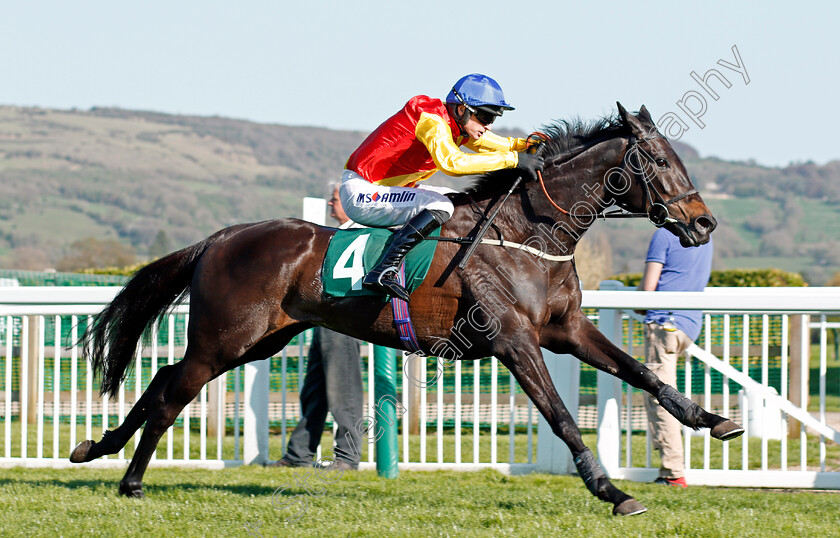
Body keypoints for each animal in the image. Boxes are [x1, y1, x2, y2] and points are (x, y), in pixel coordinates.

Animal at [70, 101, 740, 516]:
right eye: (659, 161)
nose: (703, 223)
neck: (529, 235)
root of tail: (220, 238)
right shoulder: (513, 340)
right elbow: (560, 416)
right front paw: (610, 491)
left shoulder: (566, 329)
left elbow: (641, 372)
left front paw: (710, 419)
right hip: (224, 340)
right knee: (170, 394)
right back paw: (130, 480)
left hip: (256, 341)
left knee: (162, 378)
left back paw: (96, 449)